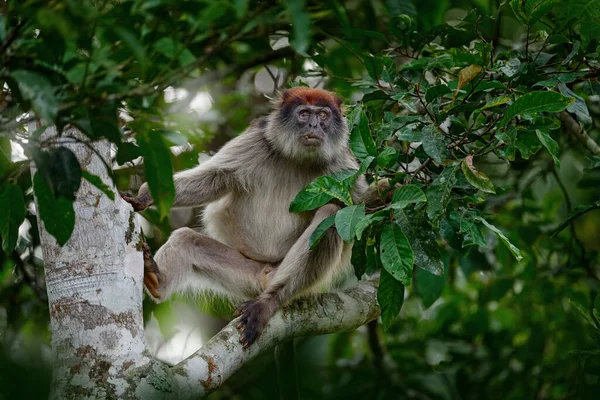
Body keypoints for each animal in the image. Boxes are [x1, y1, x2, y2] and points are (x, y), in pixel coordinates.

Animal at [122, 87, 376, 346]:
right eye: (304, 114)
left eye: (323, 115)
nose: (314, 125)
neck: (298, 159)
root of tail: (267, 276)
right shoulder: (257, 138)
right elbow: (215, 178)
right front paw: (144, 196)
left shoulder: (343, 163)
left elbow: (359, 209)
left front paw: (384, 191)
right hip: (249, 275)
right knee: (186, 239)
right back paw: (157, 279)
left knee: (331, 215)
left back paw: (269, 301)